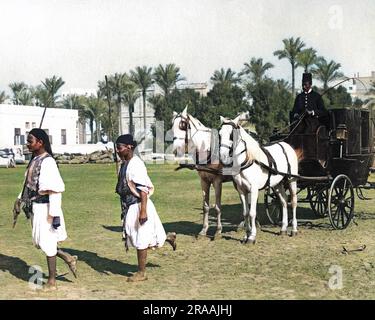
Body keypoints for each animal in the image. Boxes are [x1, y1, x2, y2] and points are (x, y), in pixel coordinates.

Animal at [171, 107, 247, 238]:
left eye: (182, 125)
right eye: (172, 126)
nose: (176, 150)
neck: (207, 149)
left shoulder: (217, 181)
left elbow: (217, 207)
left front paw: (218, 230)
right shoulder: (204, 181)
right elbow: (205, 206)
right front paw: (204, 229)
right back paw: (243, 224)